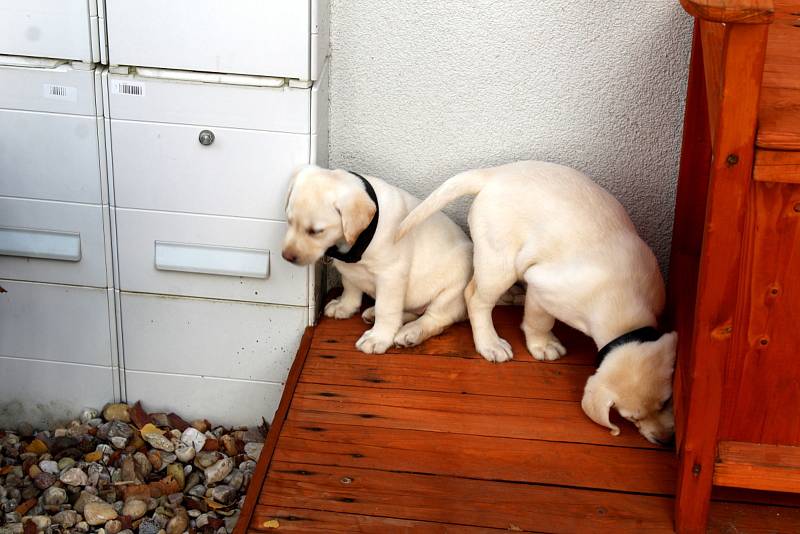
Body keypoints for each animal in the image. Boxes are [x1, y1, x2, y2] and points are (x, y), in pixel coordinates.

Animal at [282, 163, 472, 356]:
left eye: (316, 231)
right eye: (289, 221)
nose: (286, 256)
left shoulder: (391, 275)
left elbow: (386, 309)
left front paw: (378, 337)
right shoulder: (349, 268)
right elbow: (350, 286)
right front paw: (345, 306)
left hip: (452, 291)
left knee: (434, 319)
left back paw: (410, 332)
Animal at [396, 161, 680, 446]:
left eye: (667, 401)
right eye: (629, 418)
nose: (666, 440)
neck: (621, 305)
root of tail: (494, 173)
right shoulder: (542, 284)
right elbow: (538, 320)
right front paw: (543, 345)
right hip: (500, 262)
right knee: (474, 297)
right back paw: (489, 342)